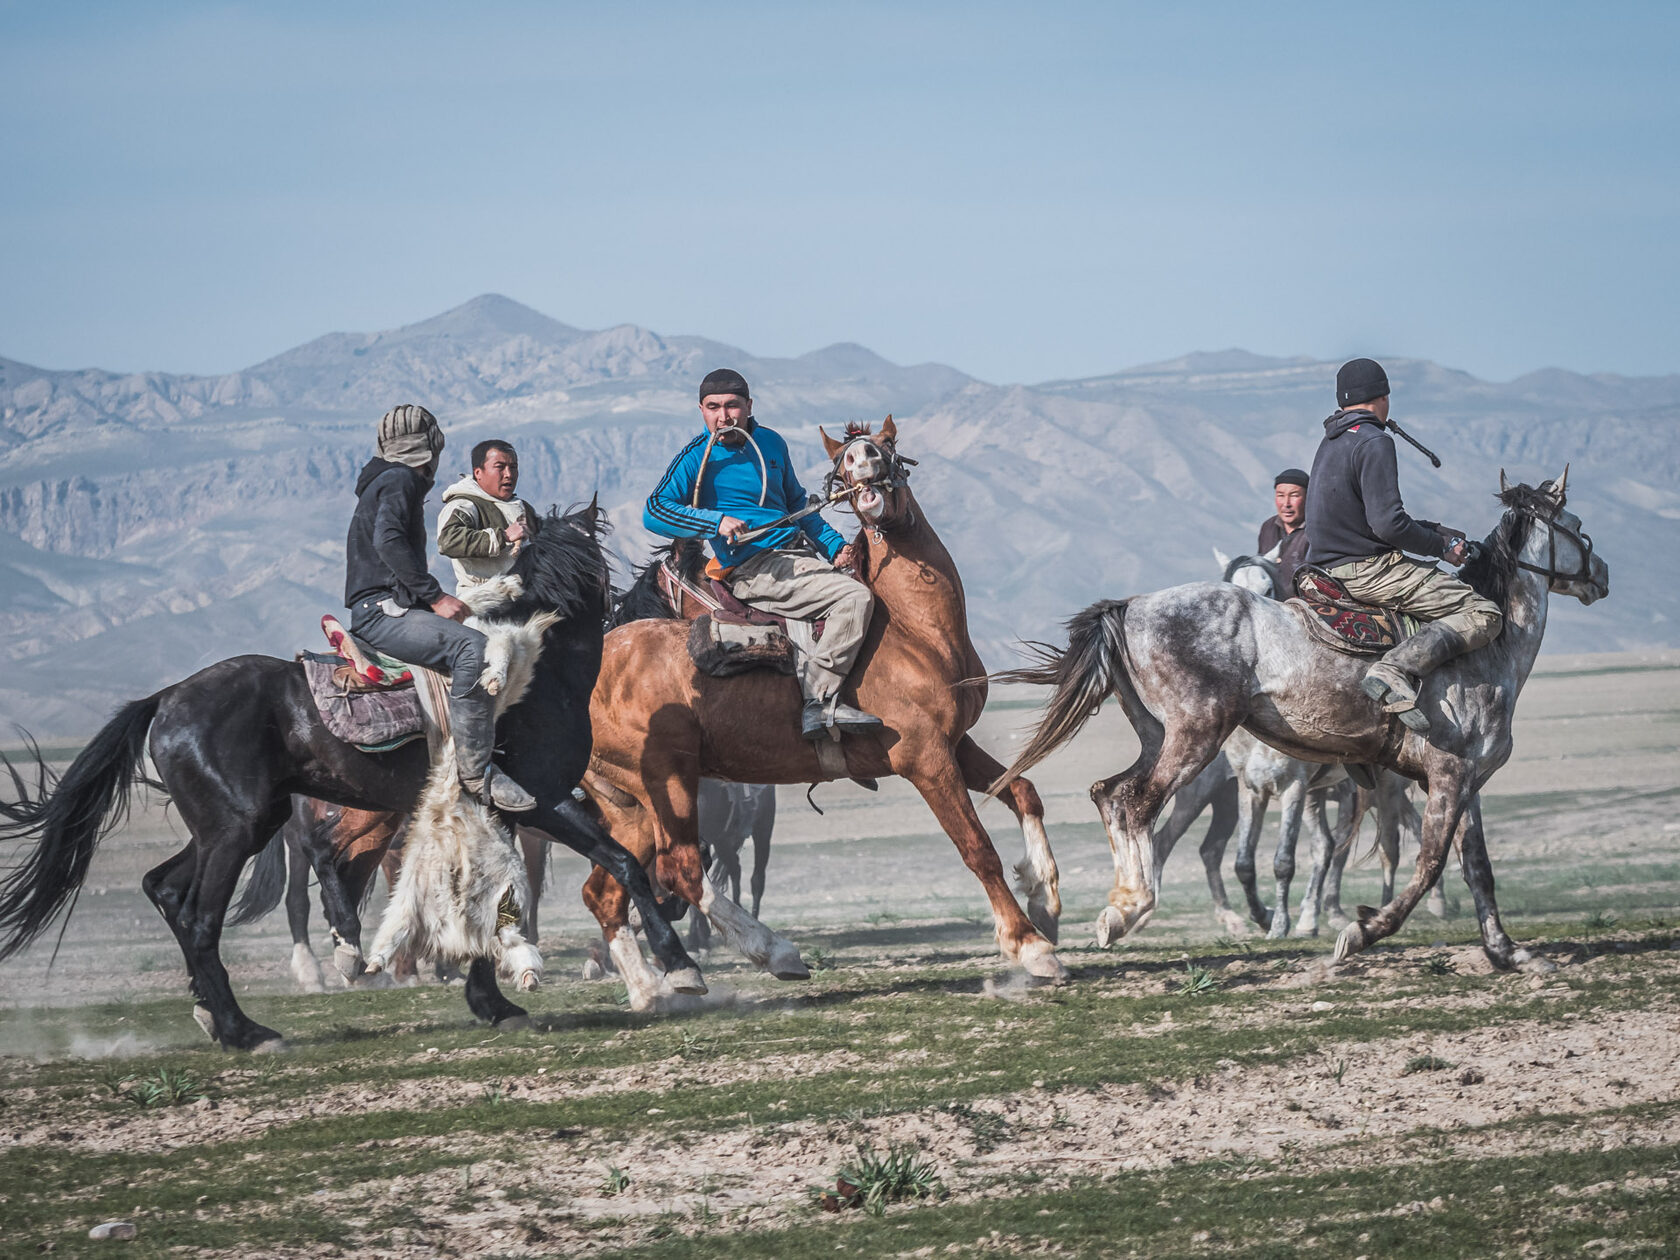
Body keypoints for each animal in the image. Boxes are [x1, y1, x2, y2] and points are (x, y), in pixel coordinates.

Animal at [0, 507, 698, 1055]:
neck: (538, 676)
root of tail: (168, 698)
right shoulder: (540, 802)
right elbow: (622, 863)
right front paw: (680, 966)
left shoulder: (498, 812)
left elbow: (492, 898)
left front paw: (494, 1004)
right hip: (236, 830)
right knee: (201, 916)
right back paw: (247, 1031)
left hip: (234, 826)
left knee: (165, 889)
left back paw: (213, 1013)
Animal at [571, 420, 1055, 1014]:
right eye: (841, 463)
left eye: (886, 445)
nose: (864, 462)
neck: (914, 630)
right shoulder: (924, 758)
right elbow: (978, 850)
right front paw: (1030, 945)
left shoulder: (956, 744)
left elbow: (1023, 791)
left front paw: (1045, 897)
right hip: (668, 782)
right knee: (680, 868)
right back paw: (772, 953)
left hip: (631, 807)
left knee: (607, 890)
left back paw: (653, 990)